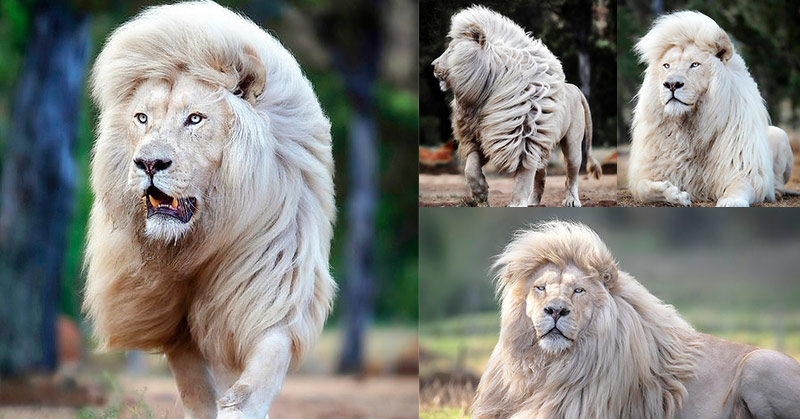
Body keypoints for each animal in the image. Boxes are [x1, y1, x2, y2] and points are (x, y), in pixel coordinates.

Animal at [83, 2, 335, 417]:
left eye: (195, 119)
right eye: (142, 118)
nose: (149, 163)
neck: (202, 239)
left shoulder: (272, 295)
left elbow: (253, 382)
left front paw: (241, 407)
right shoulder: (173, 324)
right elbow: (197, 392)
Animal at [432, 6, 601, 207]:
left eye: (451, 51)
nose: (433, 65)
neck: (483, 96)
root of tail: (574, 87)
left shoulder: (525, 139)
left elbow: (523, 177)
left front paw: (516, 203)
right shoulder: (480, 137)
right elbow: (470, 169)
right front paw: (481, 194)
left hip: (572, 144)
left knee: (571, 175)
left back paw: (571, 200)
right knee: (542, 174)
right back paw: (533, 201)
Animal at [628, 10, 796, 207]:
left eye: (695, 64)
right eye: (666, 65)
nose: (671, 84)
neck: (689, 127)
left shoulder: (746, 168)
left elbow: (739, 186)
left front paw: (731, 201)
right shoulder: (650, 170)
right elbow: (643, 189)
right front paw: (674, 194)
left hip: (780, 134)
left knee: (778, 184)